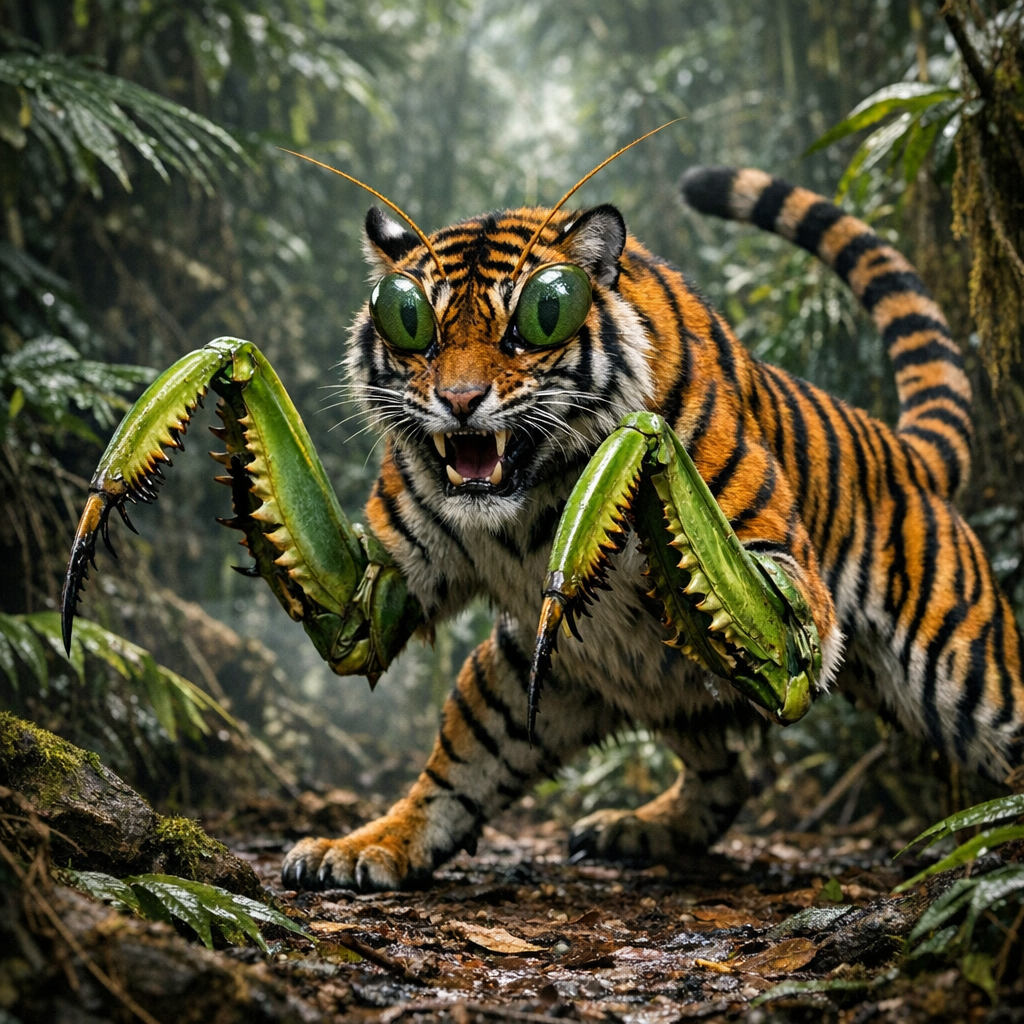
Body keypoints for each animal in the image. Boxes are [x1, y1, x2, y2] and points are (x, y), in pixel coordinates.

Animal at [281, 165, 1024, 893]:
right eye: (410, 322)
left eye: (540, 317)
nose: (460, 401)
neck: (531, 500)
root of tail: (906, 451)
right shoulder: (388, 574)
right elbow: (355, 631)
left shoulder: (790, 588)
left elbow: (773, 629)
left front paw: (641, 454)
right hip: (556, 675)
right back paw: (378, 845)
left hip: (965, 666)